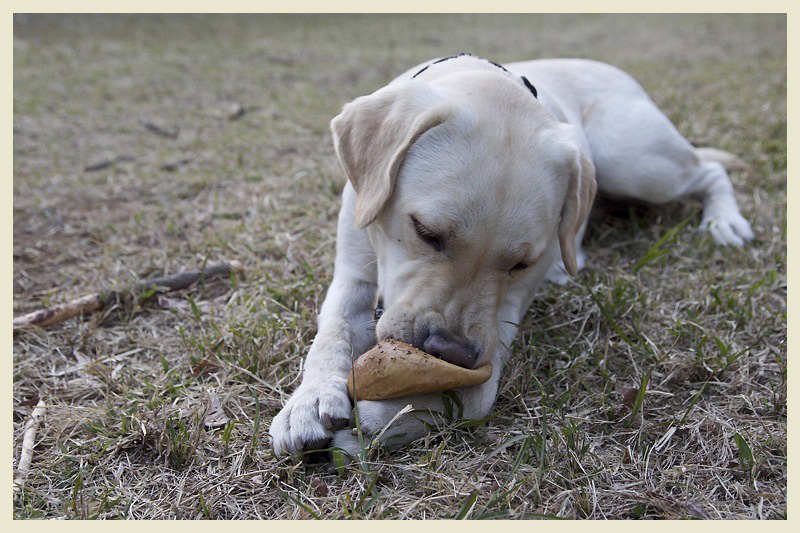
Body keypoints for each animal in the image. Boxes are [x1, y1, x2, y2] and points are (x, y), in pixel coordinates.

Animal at [272, 54, 752, 456]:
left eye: (520, 264)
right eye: (426, 232)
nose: (450, 351)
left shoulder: (503, 317)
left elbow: (473, 396)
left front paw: (386, 418)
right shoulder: (353, 274)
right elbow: (331, 334)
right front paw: (311, 401)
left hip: (635, 161)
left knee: (709, 170)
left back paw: (724, 220)